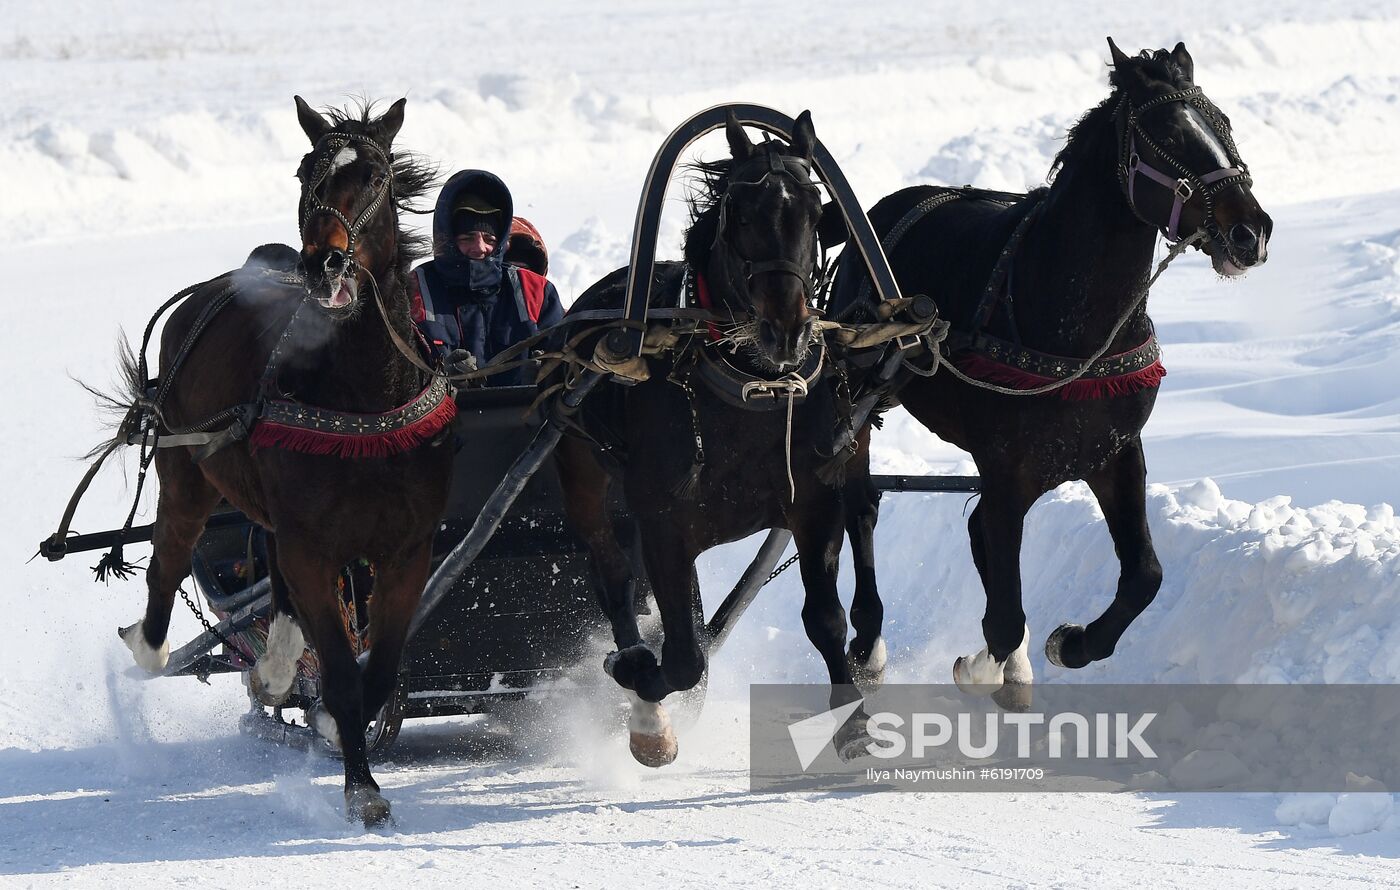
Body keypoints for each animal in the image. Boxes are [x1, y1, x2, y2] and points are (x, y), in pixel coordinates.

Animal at [104, 97, 449, 824]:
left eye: (375, 176)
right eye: (304, 174)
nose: (326, 264)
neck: (363, 400)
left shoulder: (408, 548)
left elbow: (379, 670)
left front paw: (335, 727)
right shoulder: (314, 547)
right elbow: (342, 673)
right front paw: (362, 790)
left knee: (270, 571)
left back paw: (276, 666)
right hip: (188, 468)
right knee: (172, 552)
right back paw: (152, 645)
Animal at [554, 111, 876, 765]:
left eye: (815, 210)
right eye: (741, 214)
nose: (786, 330)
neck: (747, 386)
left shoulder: (814, 499)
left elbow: (824, 616)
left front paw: (851, 721)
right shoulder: (663, 523)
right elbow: (682, 657)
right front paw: (643, 698)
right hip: (584, 475)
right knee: (613, 576)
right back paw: (635, 674)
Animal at [828, 40, 1273, 705]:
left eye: (1222, 122)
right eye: (1167, 133)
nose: (1252, 231)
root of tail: (883, 213)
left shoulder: (1115, 451)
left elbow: (1144, 574)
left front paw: (1072, 643)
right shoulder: (1008, 467)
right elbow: (1005, 609)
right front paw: (986, 665)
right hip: (860, 405)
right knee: (862, 508)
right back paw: (870, 646)